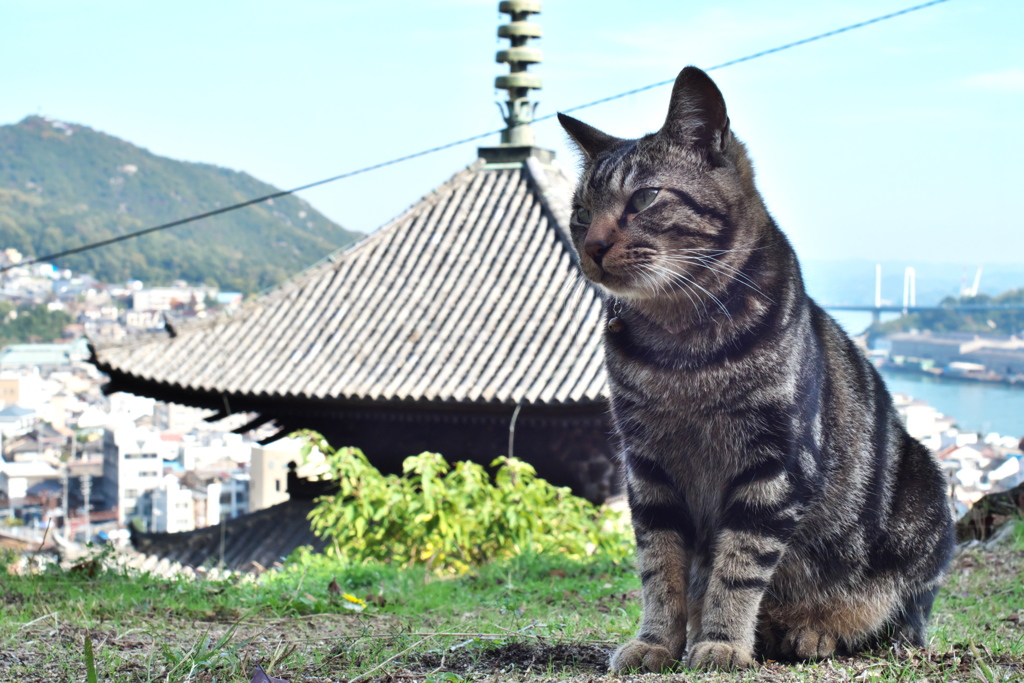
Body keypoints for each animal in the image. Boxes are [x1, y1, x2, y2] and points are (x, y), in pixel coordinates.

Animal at [557, 69, 954, 671]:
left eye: (644, 197)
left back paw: (812, 632)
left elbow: (739, 566)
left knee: (890, 622)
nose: (592, 246)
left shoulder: (774, 462)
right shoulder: (647, 466)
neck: (682, 351)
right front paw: (658, 642)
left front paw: (722, 641)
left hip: (924, 501)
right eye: (580, 212)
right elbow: (660, 569)